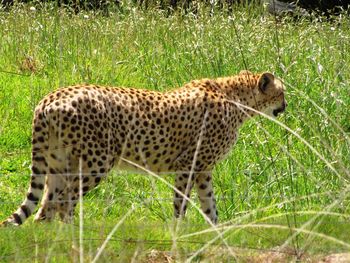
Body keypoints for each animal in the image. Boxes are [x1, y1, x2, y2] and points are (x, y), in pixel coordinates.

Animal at [1, 70, 286, 227]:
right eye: (281, 93)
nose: (285, 107)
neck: (238, 97)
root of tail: (50, 97)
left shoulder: (203, 170)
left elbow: (209, 204)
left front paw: (215, 232)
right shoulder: (187, 166)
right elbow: (181, 203)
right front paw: (179, 231)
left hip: (59, 164)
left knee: (45, 207)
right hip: (97, 163)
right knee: (63, 202)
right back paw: (73, 236)